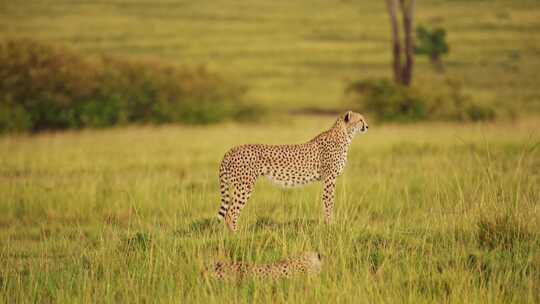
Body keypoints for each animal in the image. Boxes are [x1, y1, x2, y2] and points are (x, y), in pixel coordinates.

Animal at [217, 110, 370, 232]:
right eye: (360, 120)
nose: (367, 126)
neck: (345, 135)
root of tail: (232, 149)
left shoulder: (327, 179)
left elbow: (327, 202)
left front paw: (329, 225)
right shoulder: (329, 179)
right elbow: (329, 202)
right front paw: (330, 226)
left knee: (228, 211)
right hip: (244, 186)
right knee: (231, 213)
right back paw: (236, 235)